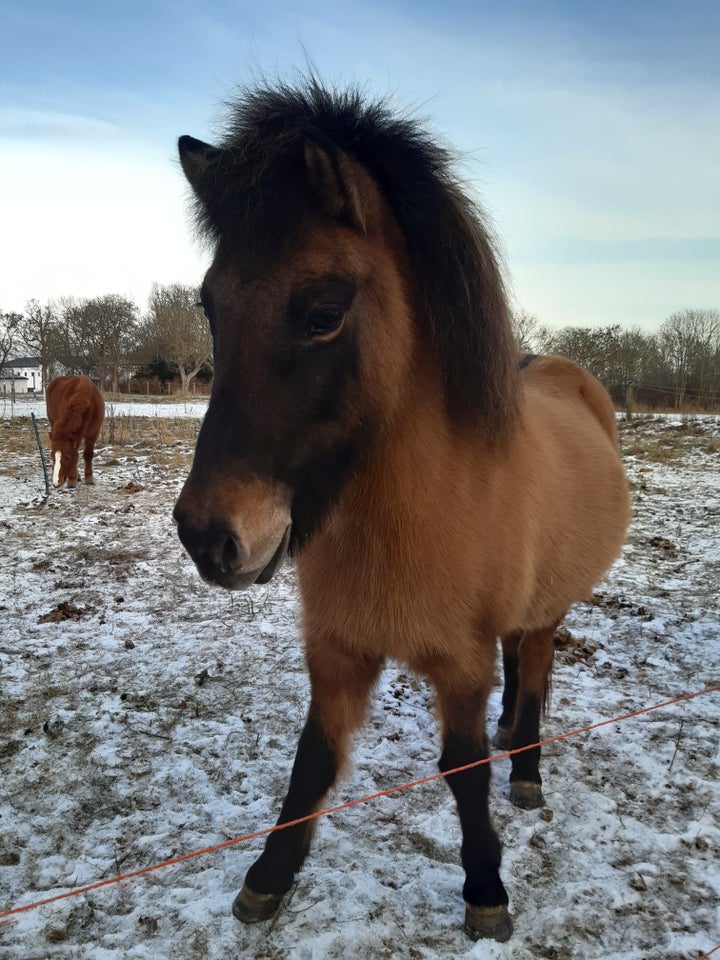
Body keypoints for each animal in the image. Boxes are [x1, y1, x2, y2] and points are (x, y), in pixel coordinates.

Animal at [173, 79, 632, 940]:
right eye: (211, 305)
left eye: (323, 312)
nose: (209, 537)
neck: (409, 518)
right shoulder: (338, 649)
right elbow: (314, 759)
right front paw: (267, 880)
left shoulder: (459, 663)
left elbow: (463, 769)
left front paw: (486, 889)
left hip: (547, 610)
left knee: (535, 670)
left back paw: (527, 768)